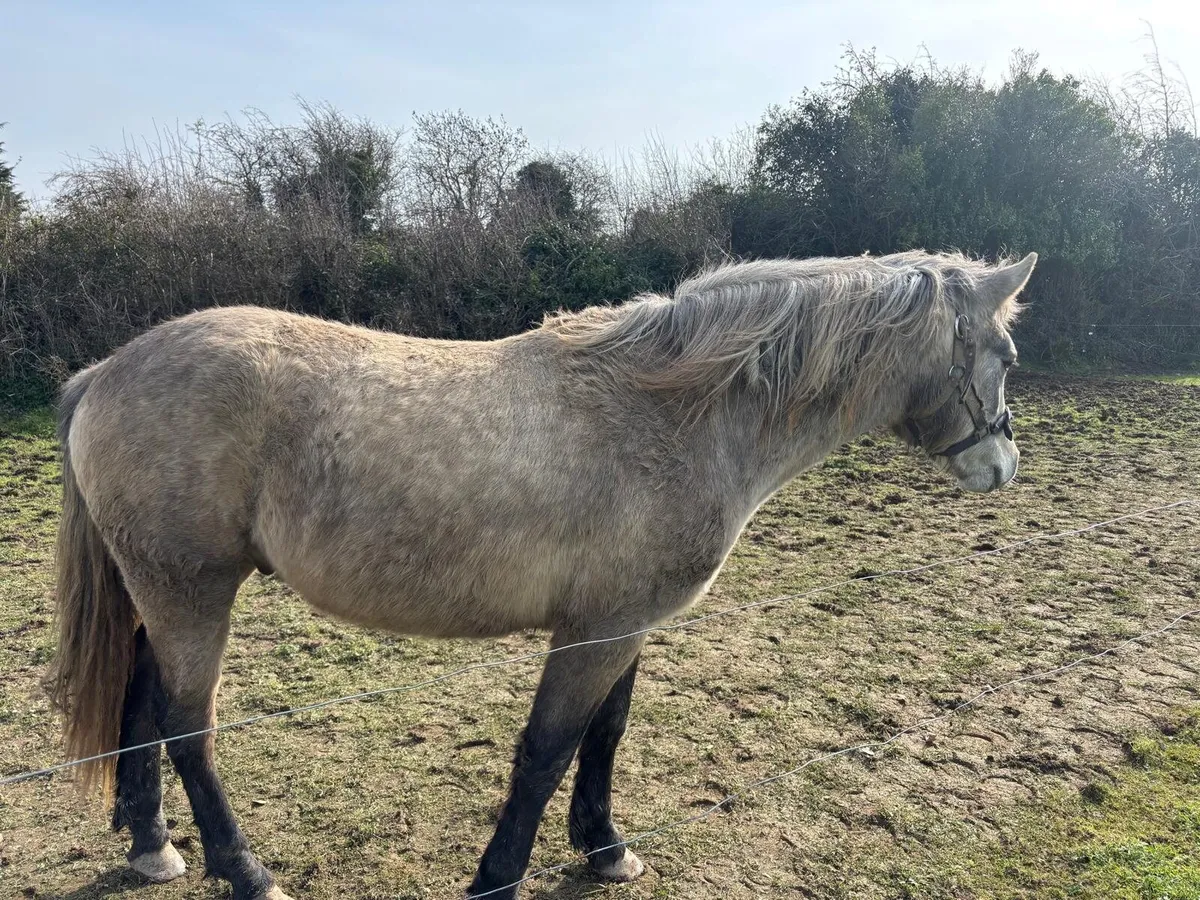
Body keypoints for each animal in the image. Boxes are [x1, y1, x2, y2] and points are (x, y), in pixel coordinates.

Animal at [46, 249, 1035, 899]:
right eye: (1007, 357)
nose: (1002, 466)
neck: (676, 412)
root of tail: (105, 372)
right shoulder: (596, 631)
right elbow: (547, 751)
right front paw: (499, 878)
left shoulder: (621, 622)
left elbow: (604, 738)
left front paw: (606, 849)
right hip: (191, 591)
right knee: (188, 728)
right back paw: (246, 872)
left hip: (165, 593)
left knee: (143, 705)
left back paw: (152, 847)